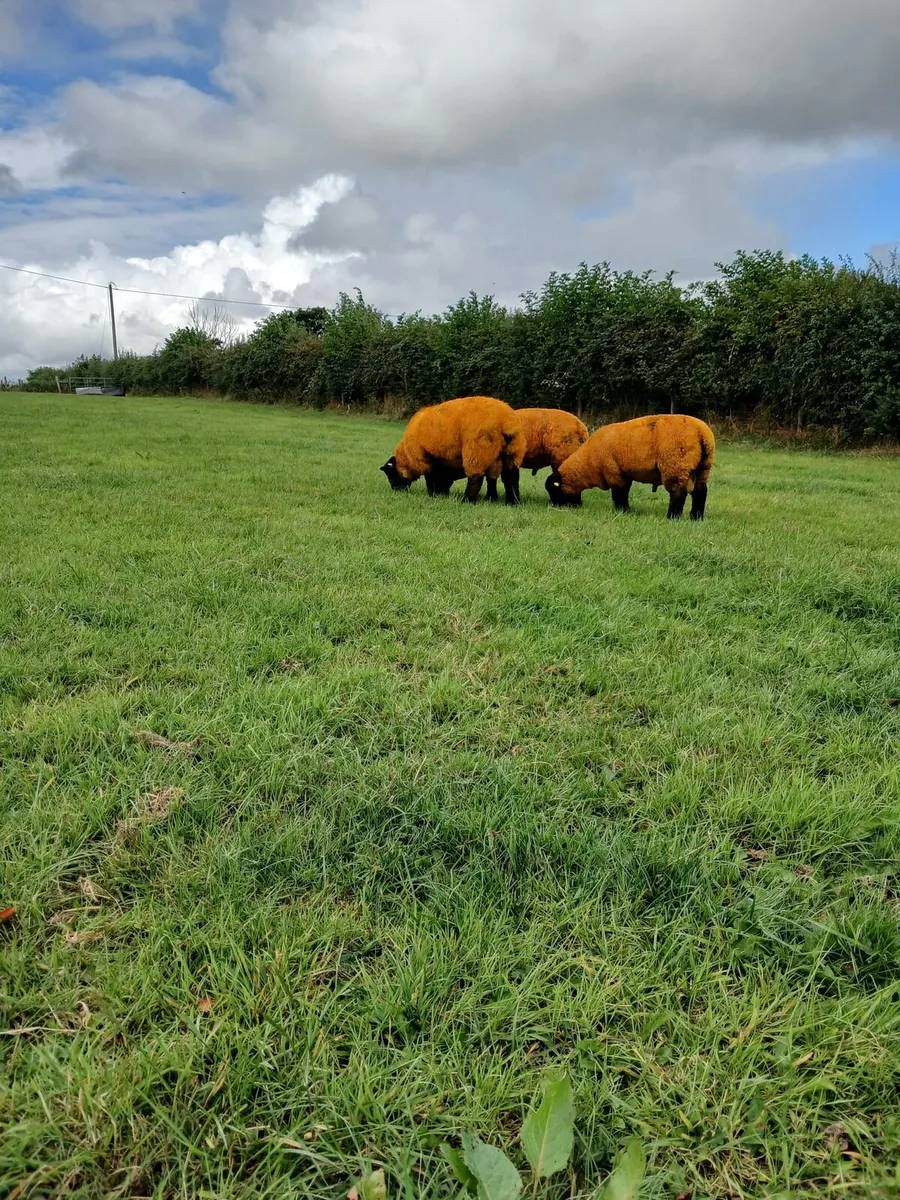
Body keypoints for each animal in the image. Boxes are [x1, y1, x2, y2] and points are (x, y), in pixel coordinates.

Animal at [380, 395, 526, 504]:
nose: (396, 490)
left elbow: (430, 479)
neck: (407, 456)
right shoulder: (442, 463)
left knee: (476, 478)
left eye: (391, 477)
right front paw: (442, 494)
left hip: (476, 451)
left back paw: (466, 500)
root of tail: (506, 421)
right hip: (512, 452)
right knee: (511, 477)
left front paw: (432, 495)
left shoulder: (426, 460)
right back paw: (510, 502)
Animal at [546, 413, 715, 519]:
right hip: (703, 467)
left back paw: (672, 517)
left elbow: (619, 495)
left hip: (676, 466)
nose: (554, 506)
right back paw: (696, 517)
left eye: (554, 490)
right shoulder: (623, 474)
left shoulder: (614, 473)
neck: (588, 463)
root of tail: (702, 432)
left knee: (678, 493)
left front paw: (623, 511)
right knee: (700, 492)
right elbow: (624, 492)